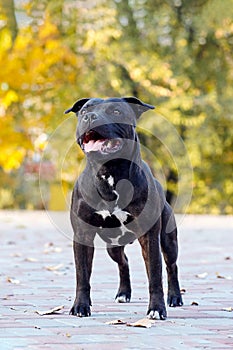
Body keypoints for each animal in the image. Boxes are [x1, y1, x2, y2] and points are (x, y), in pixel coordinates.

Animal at [64, 96, 183, 320]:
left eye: (116, 111)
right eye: (84, 110)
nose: (90, 117)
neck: (109, 173)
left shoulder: (150, 237)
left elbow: (155, 274)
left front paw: (157, 308)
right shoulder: (82, 235)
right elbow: (82, 275)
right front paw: (81, 306)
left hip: (168, 240)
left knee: (171, 266)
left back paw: (175, 297)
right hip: (113, 246)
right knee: (123, 262)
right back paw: (123, 293)